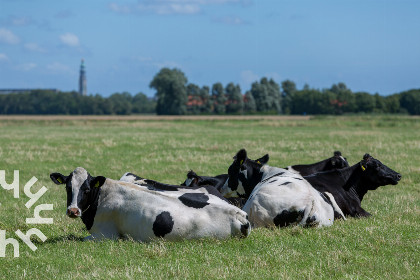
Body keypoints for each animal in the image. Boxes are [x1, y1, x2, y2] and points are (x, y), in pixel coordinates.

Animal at [50, 167, 251, 242]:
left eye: (86, 189)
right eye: (68, 187)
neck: (103, 195)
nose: (73, 211)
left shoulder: (104, 235)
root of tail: (239, 214)